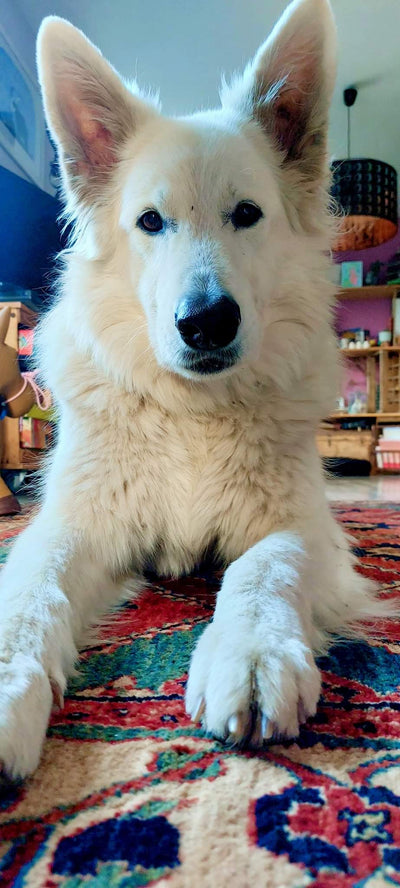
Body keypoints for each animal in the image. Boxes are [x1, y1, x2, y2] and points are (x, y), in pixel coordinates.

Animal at [0, 0, 390, 776]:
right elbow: (31, 584)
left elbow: (265, 567)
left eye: (247, 214)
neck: (191, 415)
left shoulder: (303, 530)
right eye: (151, 222)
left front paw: (252, 651)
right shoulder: (76, 524)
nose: (206, 322)